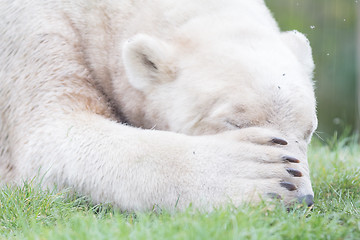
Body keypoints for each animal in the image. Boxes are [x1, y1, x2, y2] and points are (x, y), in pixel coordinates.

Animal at [0, 0, 316, 210]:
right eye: (236, 123)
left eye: (308, 131)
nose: (302, 199)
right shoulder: (36, 33)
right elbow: (52, 132)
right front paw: (264, 175)